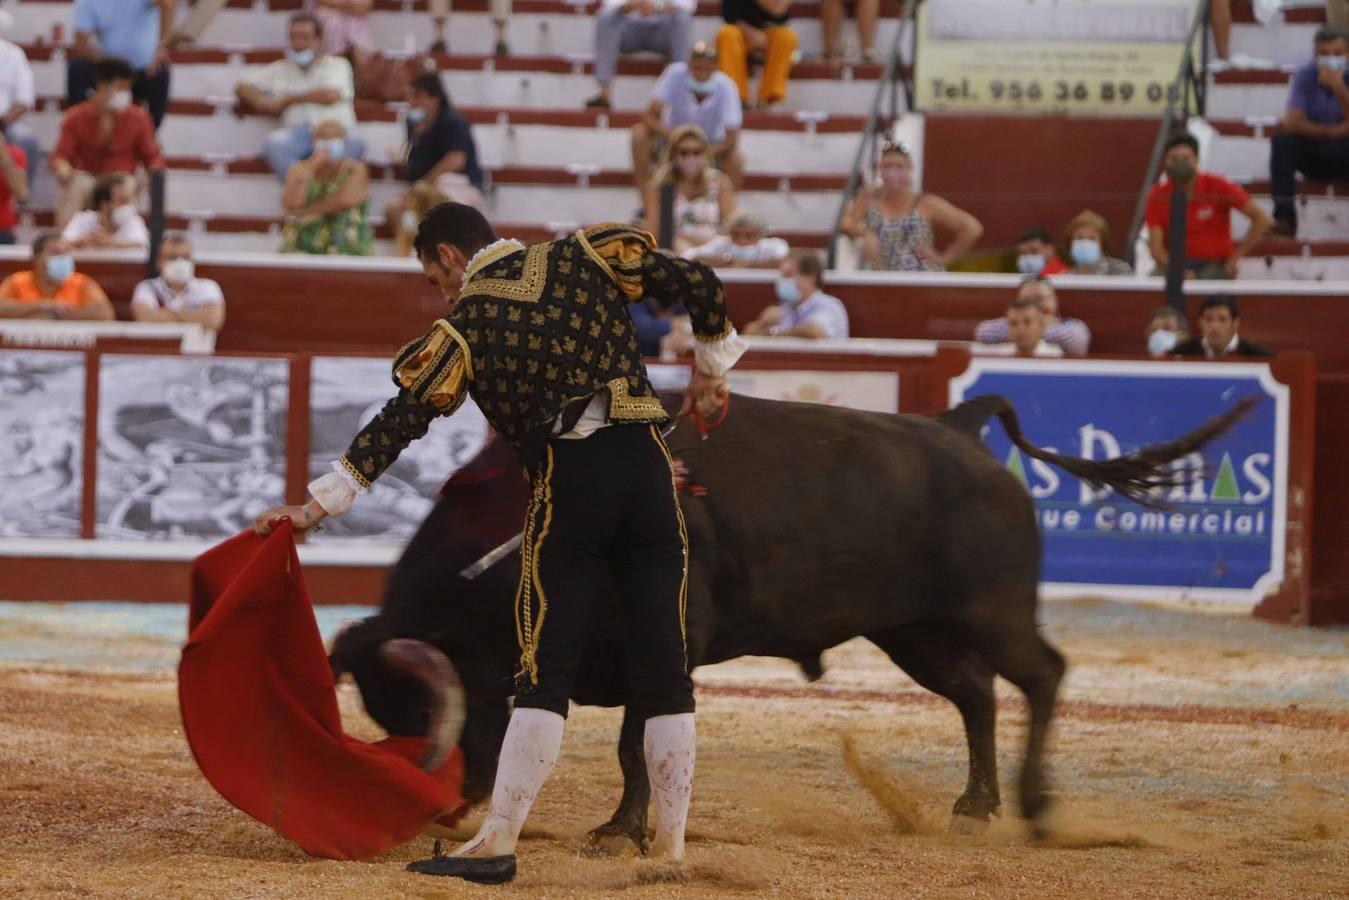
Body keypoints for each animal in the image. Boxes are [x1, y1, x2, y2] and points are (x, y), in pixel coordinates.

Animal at [331, 391, 1246, 847]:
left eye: (435, 704)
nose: (451, 804)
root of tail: (963, 433)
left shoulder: (666, 643)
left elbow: (635, 742)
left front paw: (622, 832)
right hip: (911, 631)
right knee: (977, 695)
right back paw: (973, 806)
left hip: (990, 609)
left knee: (1040, 676)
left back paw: (1034, 807)